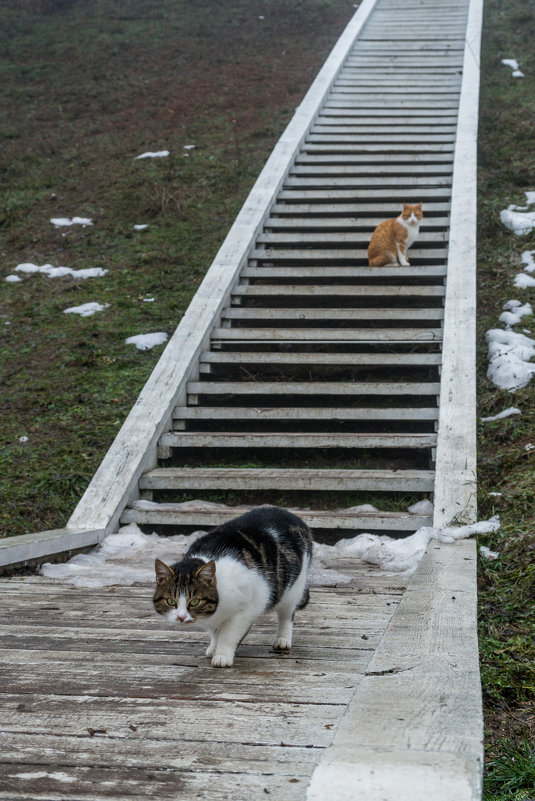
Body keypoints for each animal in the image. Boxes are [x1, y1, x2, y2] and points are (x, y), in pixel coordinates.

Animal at [154, 506, 314, 668]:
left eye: (194, 601)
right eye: (170, 601)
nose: (180, 617)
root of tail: (294, 516)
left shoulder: (245, 609)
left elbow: (228, 634)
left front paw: (222, 655)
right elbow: (215, 632)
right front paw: (214, 647)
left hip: (293, 587)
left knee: (286, 614)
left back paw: (282, 639)